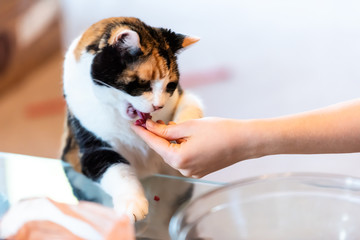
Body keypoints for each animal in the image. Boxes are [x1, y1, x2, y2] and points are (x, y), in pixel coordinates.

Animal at [61, 16, 202, 221]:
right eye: (143, 83)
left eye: (170, 85)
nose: (158, 106)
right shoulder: (91, 149)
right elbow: (118, 171)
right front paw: (132, 204)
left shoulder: (184, 96)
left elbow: (190, 107)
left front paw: (181, 131)